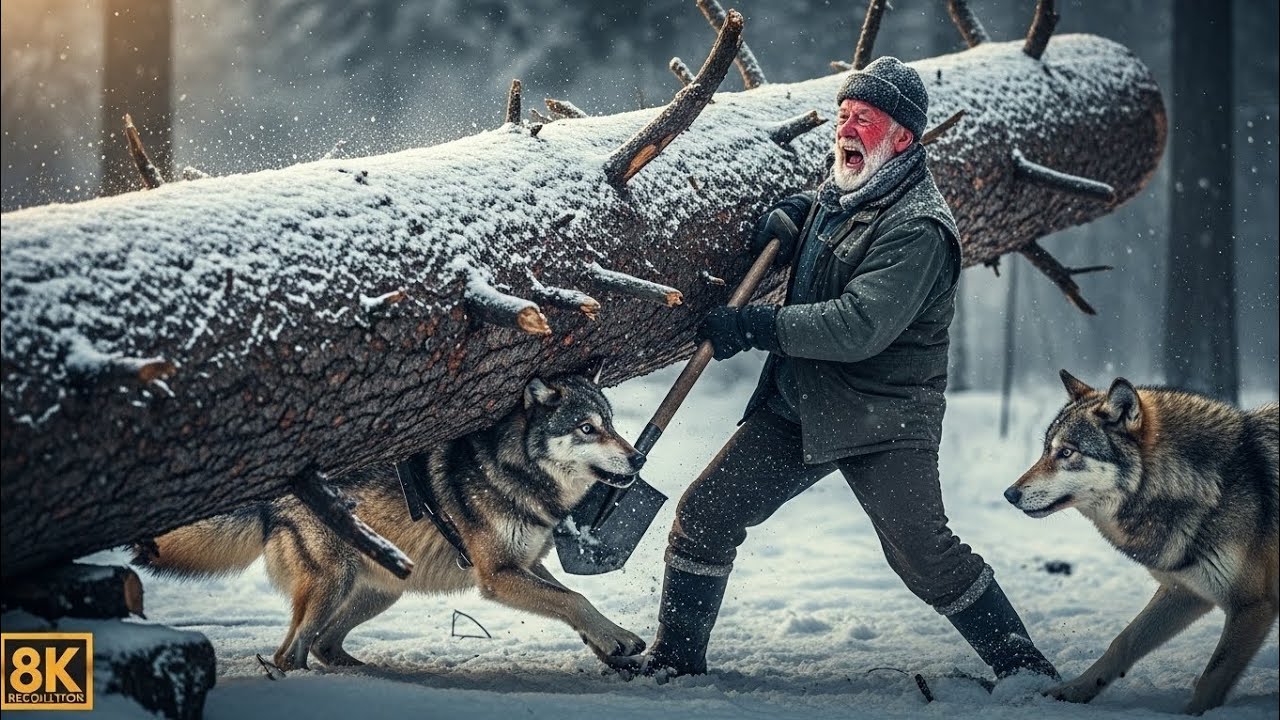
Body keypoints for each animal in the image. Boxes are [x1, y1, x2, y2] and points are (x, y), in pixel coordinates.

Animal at [135, 375, 648, 671]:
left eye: (611, 423)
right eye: (587, 428)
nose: (639, 458)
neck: (517, 472)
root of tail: (272, 497)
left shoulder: (527, 564)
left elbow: (571, 600)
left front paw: (611, 642)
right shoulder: (498, 576)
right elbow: (575, 598)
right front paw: (615, 639)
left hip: (379, 593)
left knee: (322, 647)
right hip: (334, 586)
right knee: (290, 653)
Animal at [1005, 369, 1279, 714]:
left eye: (1066, 452)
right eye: (1045, 450)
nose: (1009, 494)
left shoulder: (1252, 605)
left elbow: (1212, 676)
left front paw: (1193, 713)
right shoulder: (1185, 591)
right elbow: (1123, 642)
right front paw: (1073, 691)